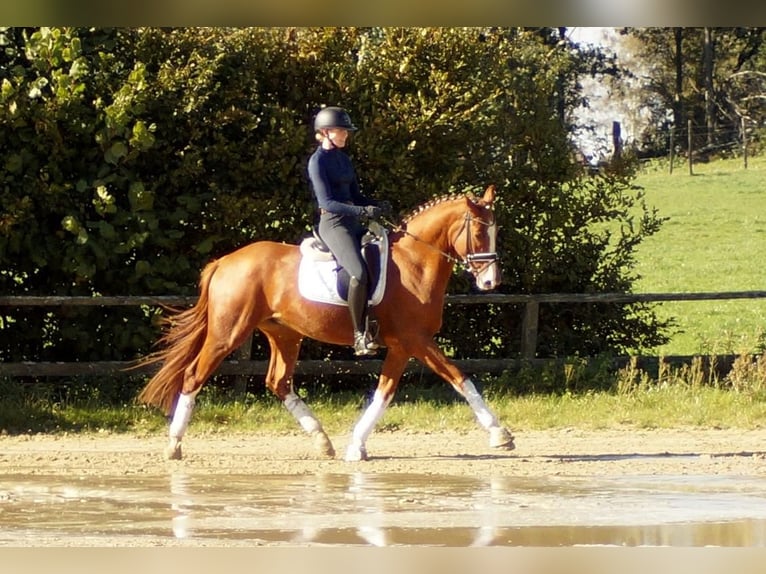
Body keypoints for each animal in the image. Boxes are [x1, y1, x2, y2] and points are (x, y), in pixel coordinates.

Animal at [136, 186, 516, 464]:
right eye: (479, 230)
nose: (491, 282)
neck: (414, 264)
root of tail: (224, 261)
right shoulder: (416, 340)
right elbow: (459, 378)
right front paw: (500, 434)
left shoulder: (401, 346)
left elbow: (384, 392)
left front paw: (356, 445)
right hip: (227, 334)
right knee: (193, 376)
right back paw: (174, 445)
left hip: (284, 334)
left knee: (278, 382)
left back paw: (322, 441)